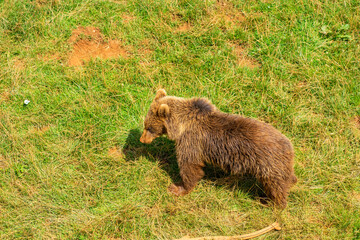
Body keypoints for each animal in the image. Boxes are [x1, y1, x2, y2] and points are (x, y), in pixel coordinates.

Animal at [139, 89, 296, 207]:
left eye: (149, 127)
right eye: (145, 124)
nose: (142, 139)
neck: (181, 125)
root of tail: (290, 147)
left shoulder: (191, 141)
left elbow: (190, 166)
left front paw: (177, 188)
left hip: (268, 165)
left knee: (276, 186)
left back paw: (271, 202)